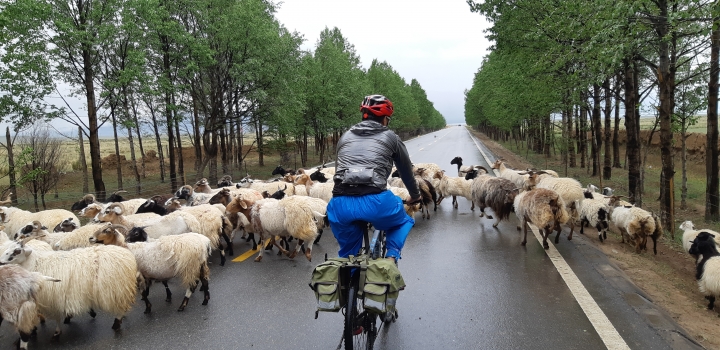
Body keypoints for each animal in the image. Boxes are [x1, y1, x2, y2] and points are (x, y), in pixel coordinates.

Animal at [0, 237, 138, 338]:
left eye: (17, 251)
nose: (1, 262)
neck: (35, 263)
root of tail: (127, 255)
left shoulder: (52, 297)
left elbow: (56, 316)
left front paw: (57, 331)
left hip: (116, 289)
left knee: (120, 309)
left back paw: (116, 324)